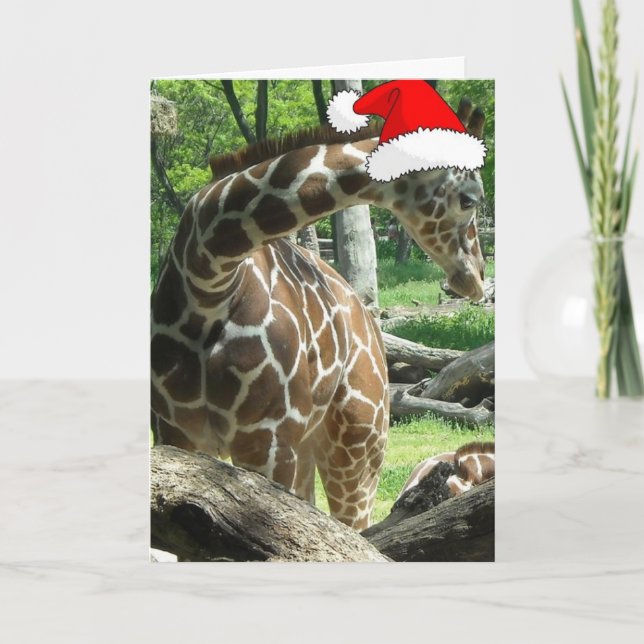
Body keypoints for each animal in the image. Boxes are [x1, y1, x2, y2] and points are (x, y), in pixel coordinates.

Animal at [151, 124, 486, 530]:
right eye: (469, 200)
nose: (477, 277)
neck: (208, 281)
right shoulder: (173, 433)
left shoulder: (267, 440)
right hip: (311, 448)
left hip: (358, 449)